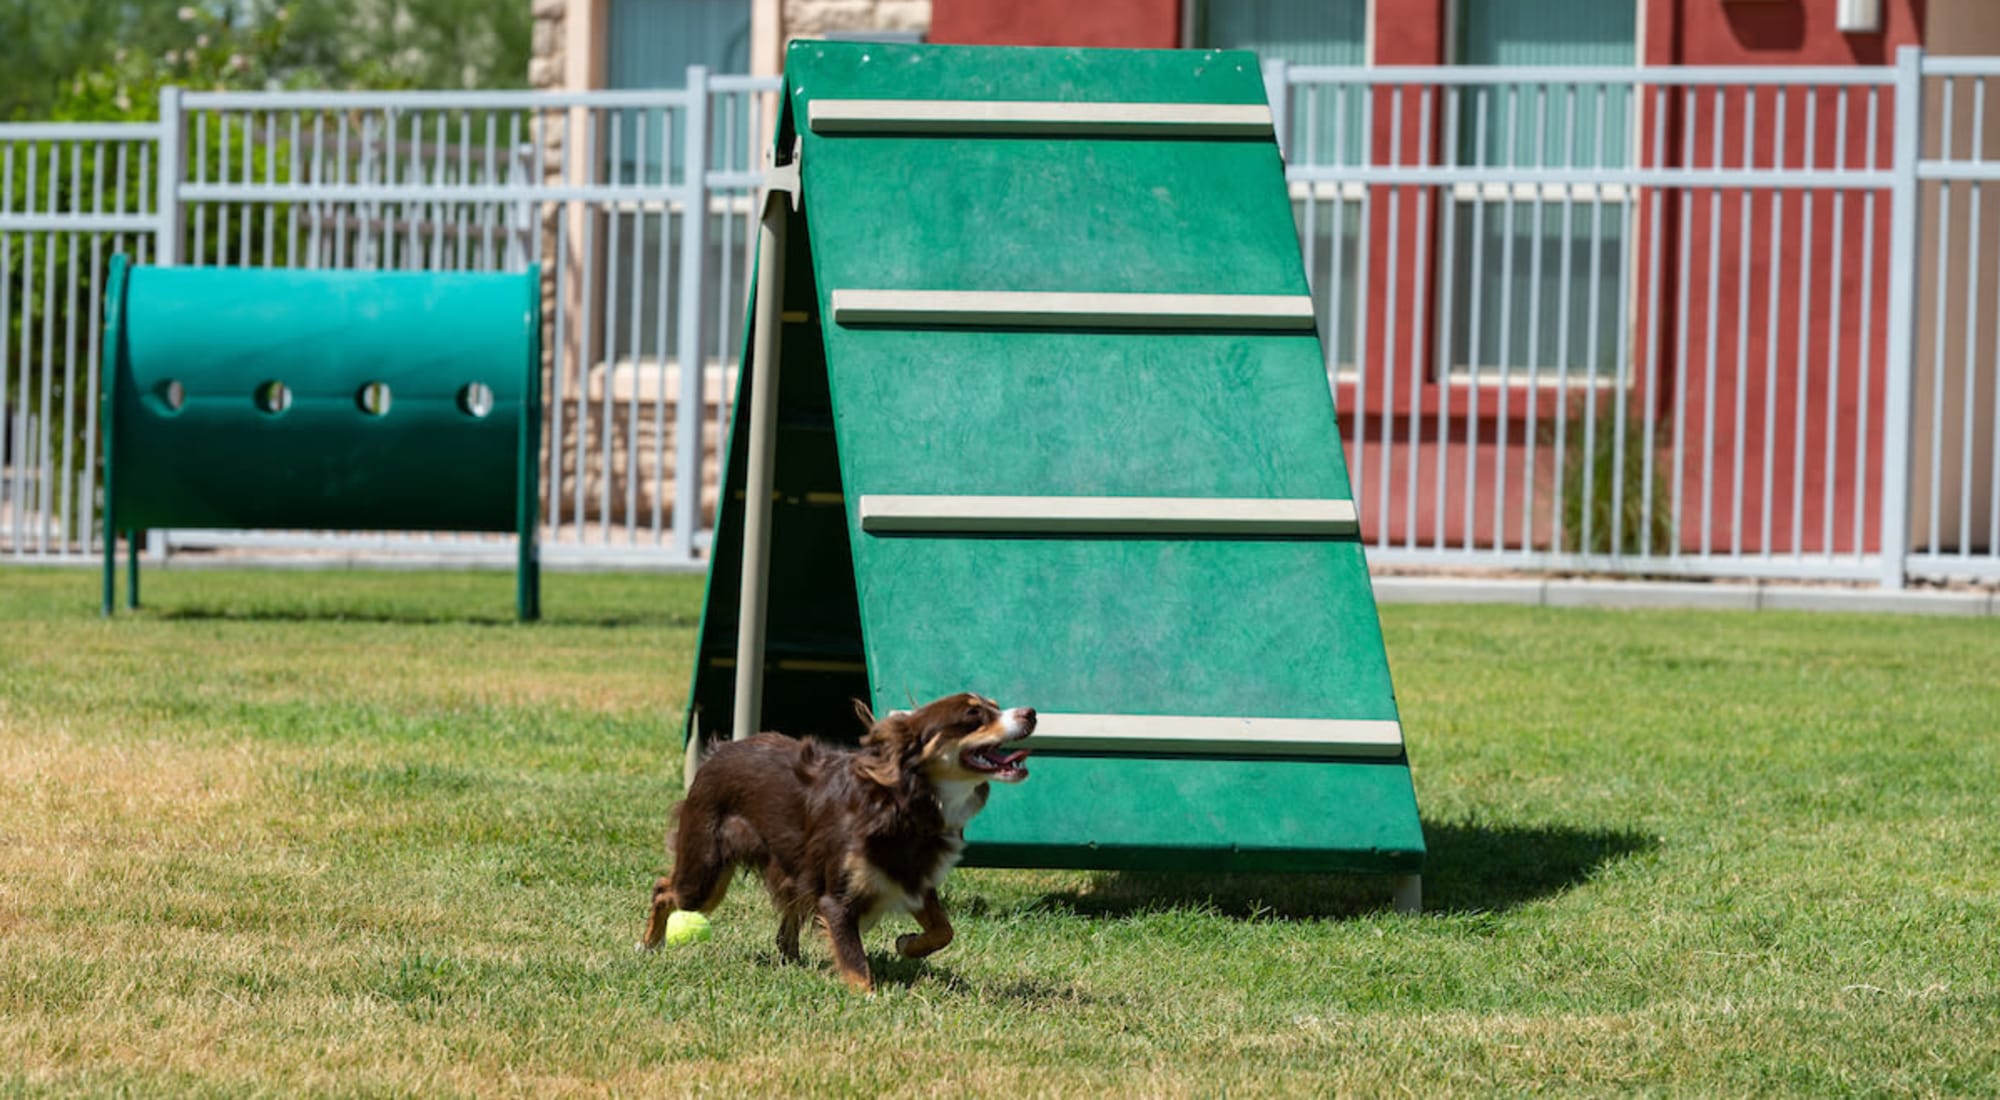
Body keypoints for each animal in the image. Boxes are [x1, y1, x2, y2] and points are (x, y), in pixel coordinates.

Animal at [640, 696, 1040, 996]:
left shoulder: (910, 874)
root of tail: (718, 752)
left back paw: (791, 957)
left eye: (994, 705)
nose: (1031, 713)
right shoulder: (838, 897)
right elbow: (855, 960)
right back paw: (648, 945)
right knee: (664, 889)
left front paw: (907, 944)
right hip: (705, 873)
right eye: (973, 715)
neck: (902, 801)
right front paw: (868, 995)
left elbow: (944, 930)